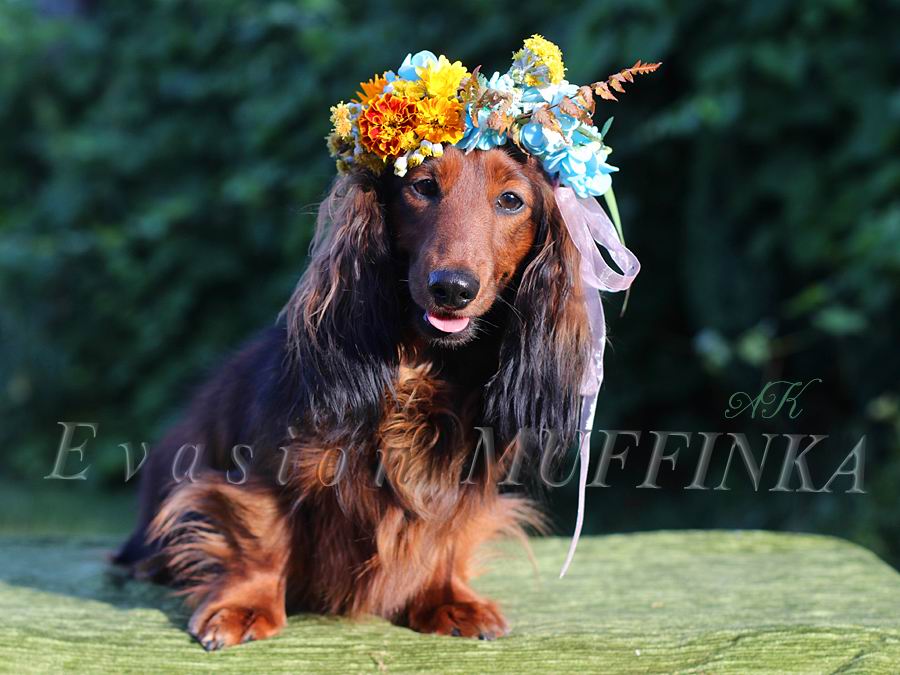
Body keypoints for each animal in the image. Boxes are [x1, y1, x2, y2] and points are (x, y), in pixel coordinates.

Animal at [114, 145, 591, 649]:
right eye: (424, 186)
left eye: (511, 200)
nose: (452, 288)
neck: (419, 368)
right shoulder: (261, 469)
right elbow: (260, 535)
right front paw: (245, 606)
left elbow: (447, 532)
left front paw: (447, 599)